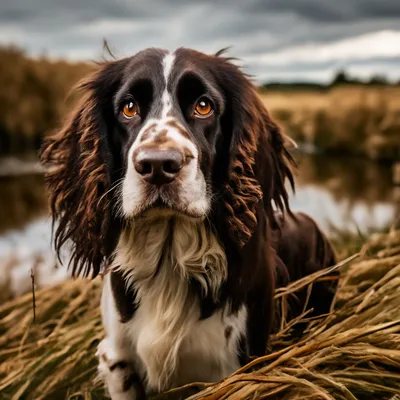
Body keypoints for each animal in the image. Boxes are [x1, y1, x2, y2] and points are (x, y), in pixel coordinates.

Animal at [40, 48, 336, 398]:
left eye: (204, 105)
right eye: (129, 107)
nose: (157, 165)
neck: (169, 259)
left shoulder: (240, 368)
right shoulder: (116, 359)